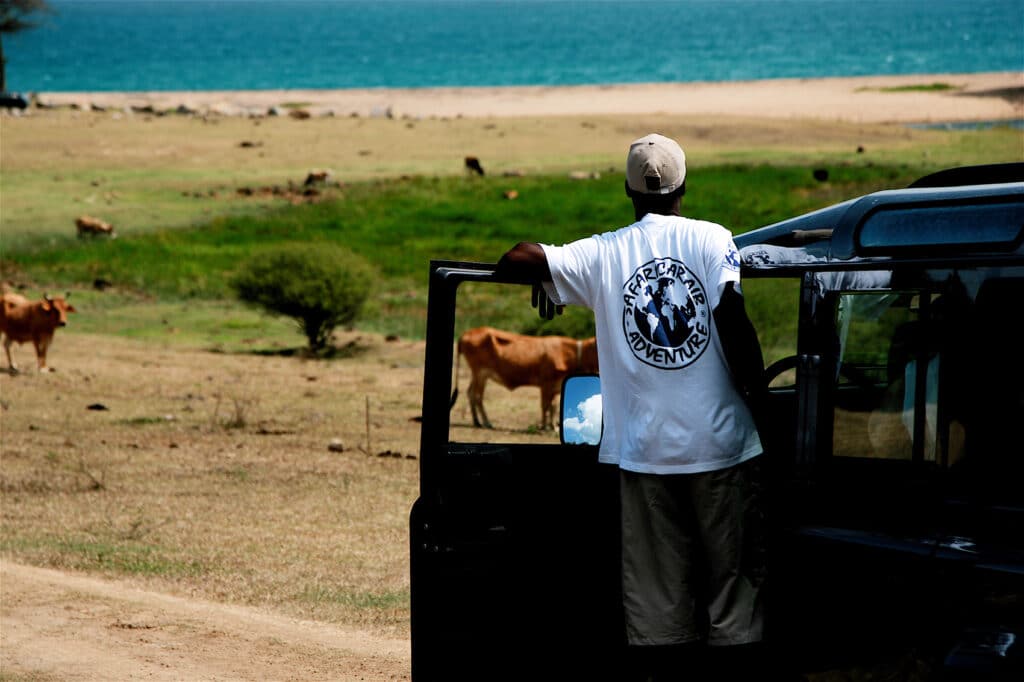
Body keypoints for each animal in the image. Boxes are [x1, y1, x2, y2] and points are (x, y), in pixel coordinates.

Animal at [452, 325, 598, 430]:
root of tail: (466, 334)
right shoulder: (546, 383)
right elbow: (545, 405)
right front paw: (544, 427)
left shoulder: (556, 385)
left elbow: (554, 406)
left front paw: (553, 427)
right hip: (480, 372)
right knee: (477, 396)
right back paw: (486, 422)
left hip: (479, 374)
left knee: (471, 393)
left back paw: (476, 422)